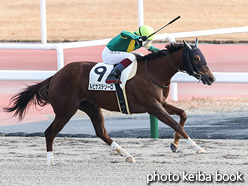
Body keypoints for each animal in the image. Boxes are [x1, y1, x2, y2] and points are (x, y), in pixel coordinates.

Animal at [3, 38, 215, 164]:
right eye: (197, 58)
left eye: (203, 56)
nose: (211, 78)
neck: (153, 72)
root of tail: (55, 76)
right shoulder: (153, 107)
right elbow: (175, 124)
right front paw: (198, 148)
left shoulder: (160, 104)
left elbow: (183, 115)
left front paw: (175, 144)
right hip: (66, 110)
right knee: (49, 132)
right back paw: (50, 160)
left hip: (91, 107)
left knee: (102, 133)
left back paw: (127, 155)